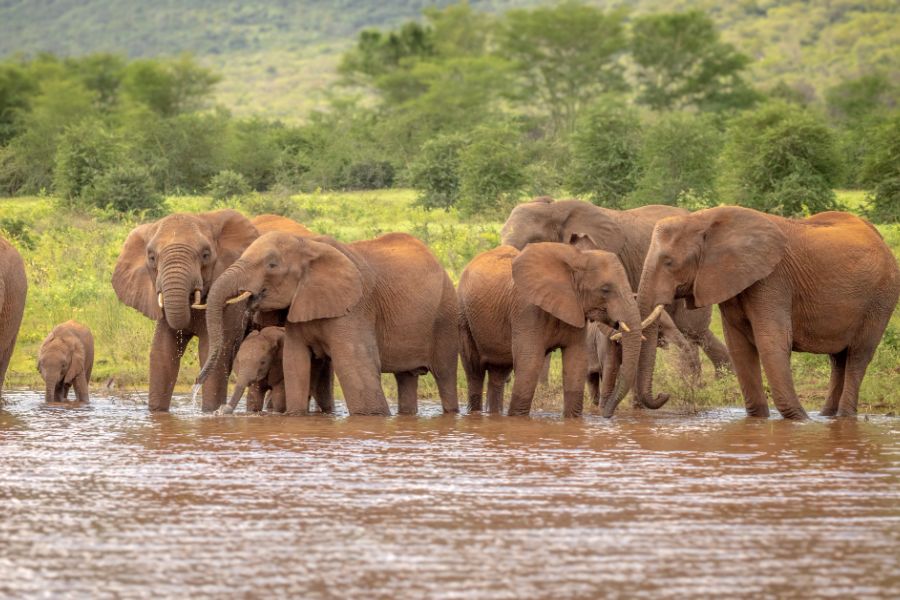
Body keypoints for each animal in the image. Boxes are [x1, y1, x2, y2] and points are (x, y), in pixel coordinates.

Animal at [198, 231, 460, 416]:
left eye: (272, 265)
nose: (198, 382)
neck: (308, 245)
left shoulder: (356, 307)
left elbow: (355, 368)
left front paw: (372, 417)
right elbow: (295, 362)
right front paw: (295, 416)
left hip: (445, 318)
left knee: (445, 376)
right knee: (406, 378)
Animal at [458, 243, 643, 417]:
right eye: (605, 289)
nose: (606, 416)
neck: (577, 258)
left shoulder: (575, 310)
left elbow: (576, 363)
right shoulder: (526, 311)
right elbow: (530, 364)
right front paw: (517, 420)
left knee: (499, 373)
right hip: (464, 316)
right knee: (474, 371)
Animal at [636, 206, 900, 419]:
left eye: (669, 262)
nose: (663, 394)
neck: (703, 219)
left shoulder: (772, 280)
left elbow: (771, 342)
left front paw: (800, 421)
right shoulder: (732, 280)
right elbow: (739, 347)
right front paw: (758, 419)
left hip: (881, 298)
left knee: (858, 355)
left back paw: (844, 417)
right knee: (838, 360)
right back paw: (827, 417)